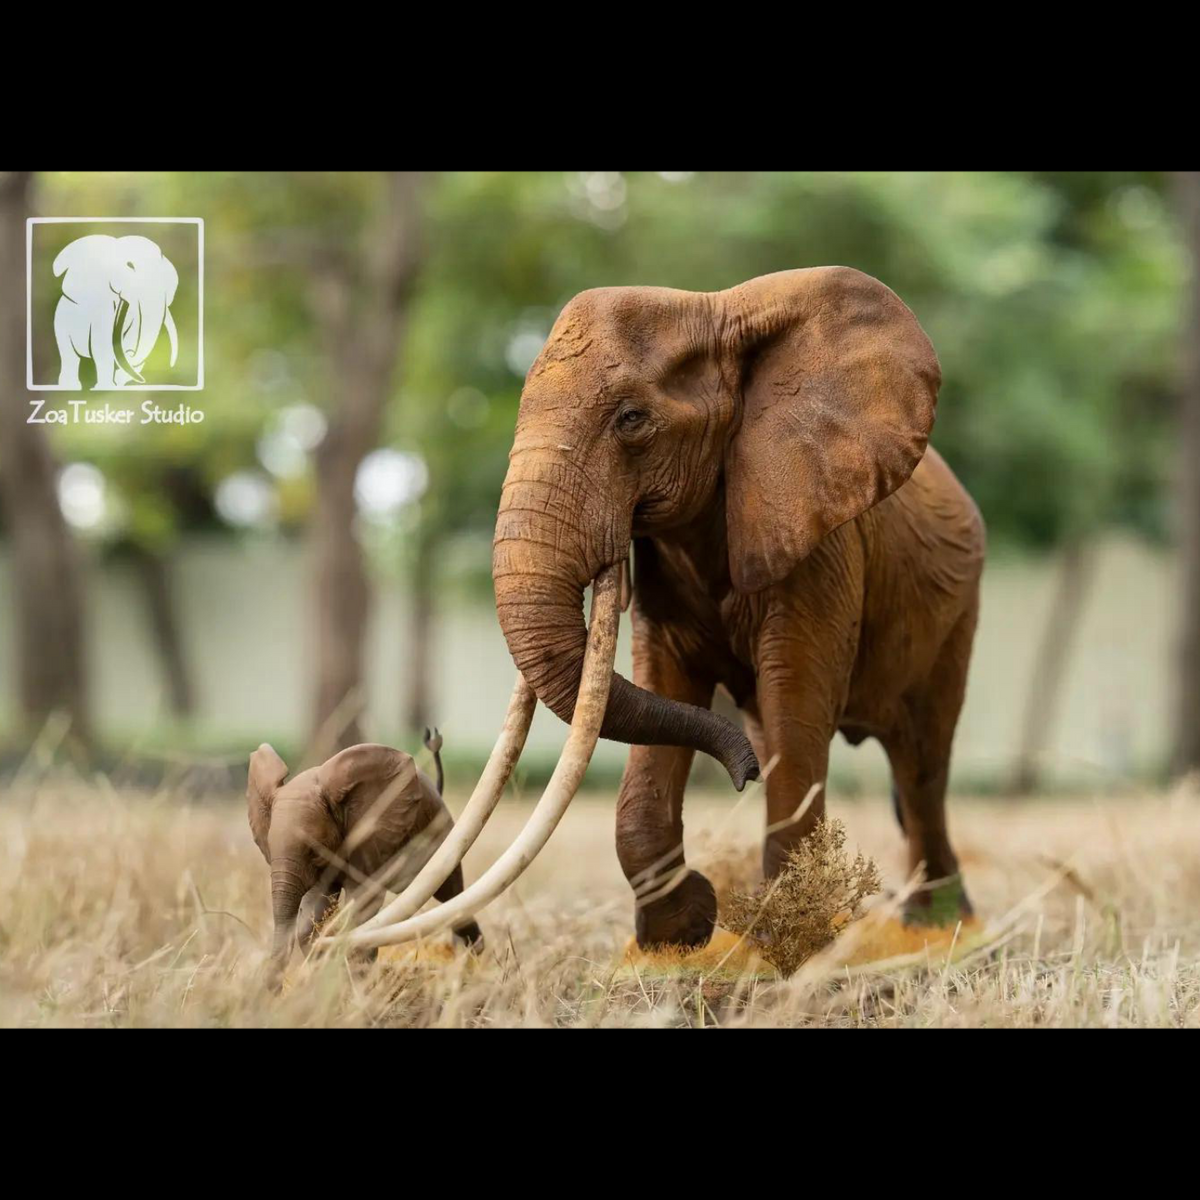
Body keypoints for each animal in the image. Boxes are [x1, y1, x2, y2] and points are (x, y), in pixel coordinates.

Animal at [247, 727, 483, 983]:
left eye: (314, 852)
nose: (271, 989)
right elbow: (314, 910)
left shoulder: (368, 839)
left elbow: (364, 900)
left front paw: (356, 972)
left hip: (442, 833)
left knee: (450, 891)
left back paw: (472, 950)